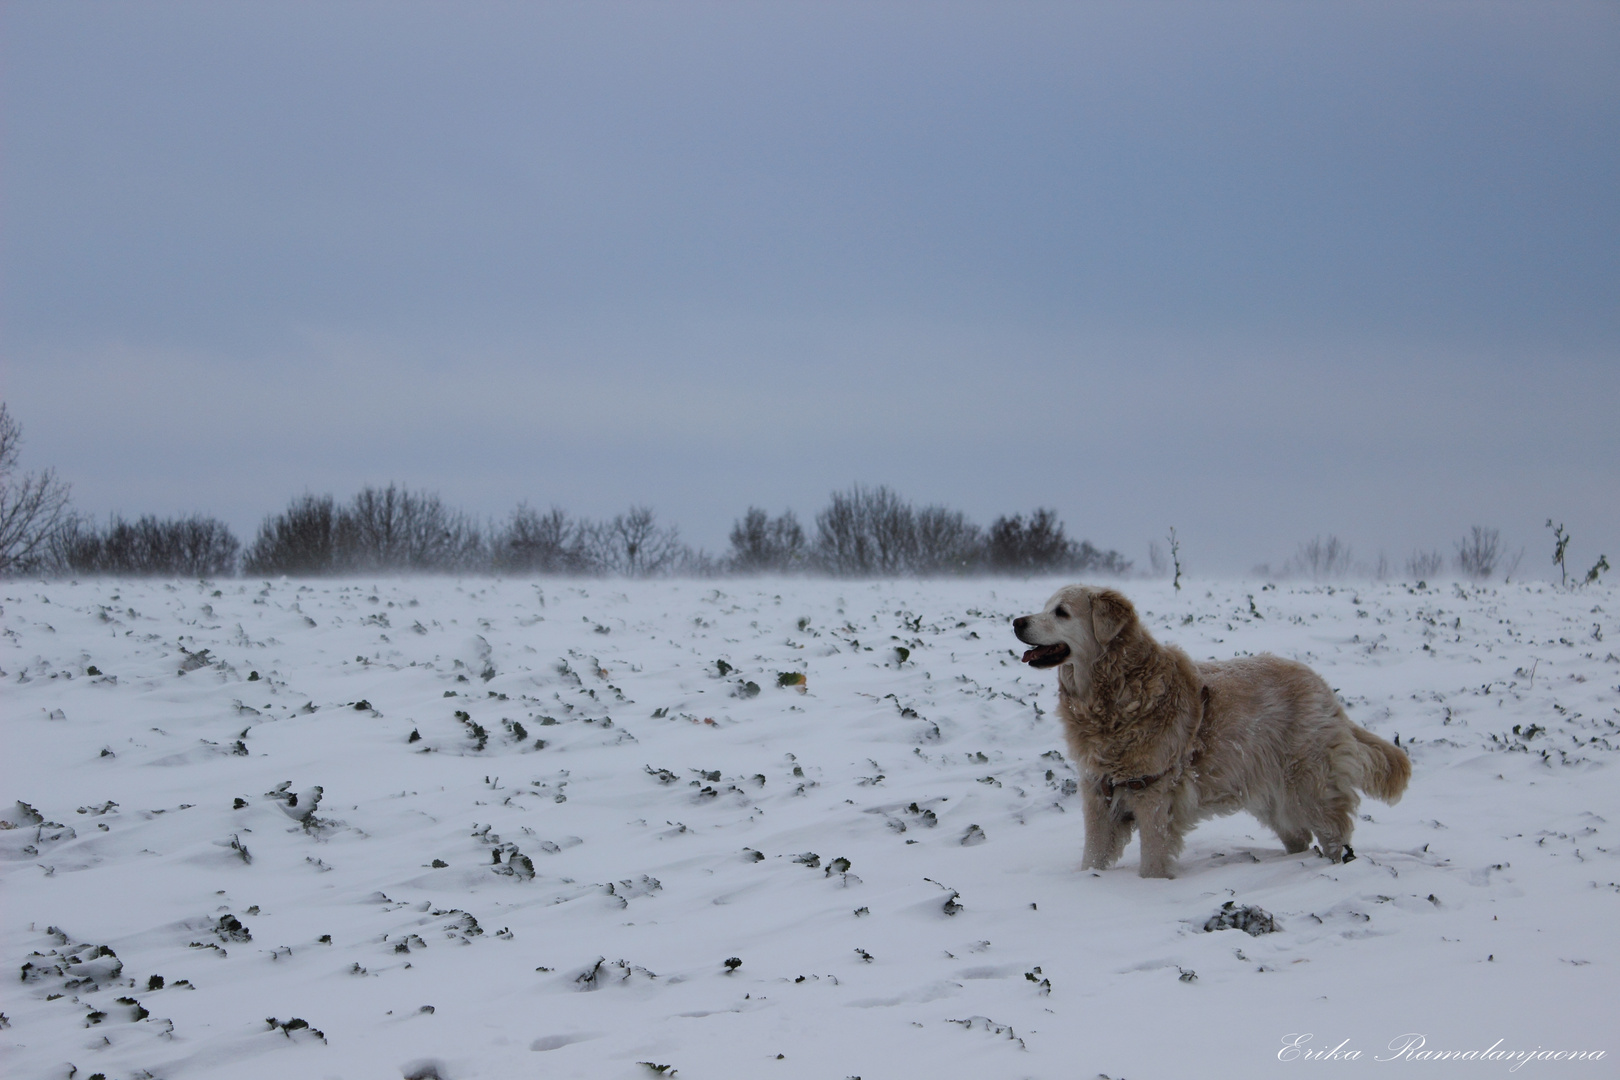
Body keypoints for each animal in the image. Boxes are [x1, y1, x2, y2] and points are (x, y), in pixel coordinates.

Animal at [1010, 582, 1406, 880]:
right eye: (1045, 607)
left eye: (1061, 612)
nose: (1016, 621)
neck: (1116, 692)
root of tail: (1323, 687)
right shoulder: (1098, 795)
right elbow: (1092, 857)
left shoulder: (1153, 794)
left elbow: (1152, 860)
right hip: (1272, 797)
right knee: (1299, 835)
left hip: (1310, 787)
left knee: (1334, 834)